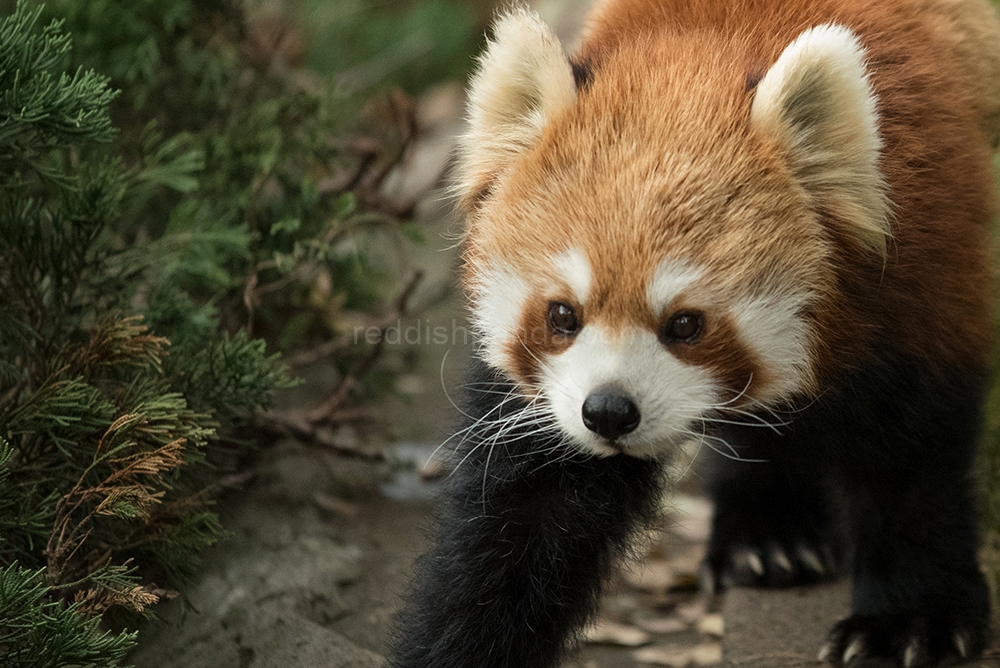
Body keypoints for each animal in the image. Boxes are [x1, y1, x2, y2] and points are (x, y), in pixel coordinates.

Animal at [388, 1, 1000, 668]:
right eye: (562, 315)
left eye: (685, 323)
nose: (609, 411)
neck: (712, 37)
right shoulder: (550, 402)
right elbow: (527, 515)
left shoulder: (927, 266)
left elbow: (907, 462)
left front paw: (908, 619)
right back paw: (766, 535)